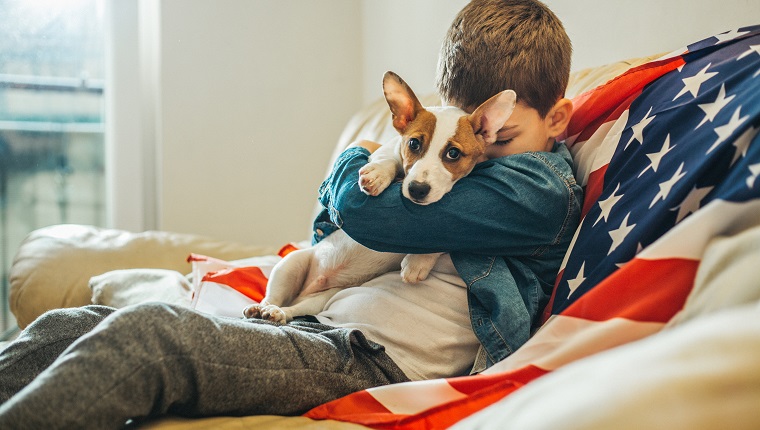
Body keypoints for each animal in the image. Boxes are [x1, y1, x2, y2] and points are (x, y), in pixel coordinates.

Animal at [243, 72, 516, 324]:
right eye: (413, 144)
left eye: (453, 153)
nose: (417, 189)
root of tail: (308, 288)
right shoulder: (387, 149)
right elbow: (389, 158)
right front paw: (377, 174)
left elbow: (453, 233)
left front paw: (418, 262)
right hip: (290, 265)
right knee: (272, 296)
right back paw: (263, 308)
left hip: (321, 299)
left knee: (296, 308)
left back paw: (280, 312)